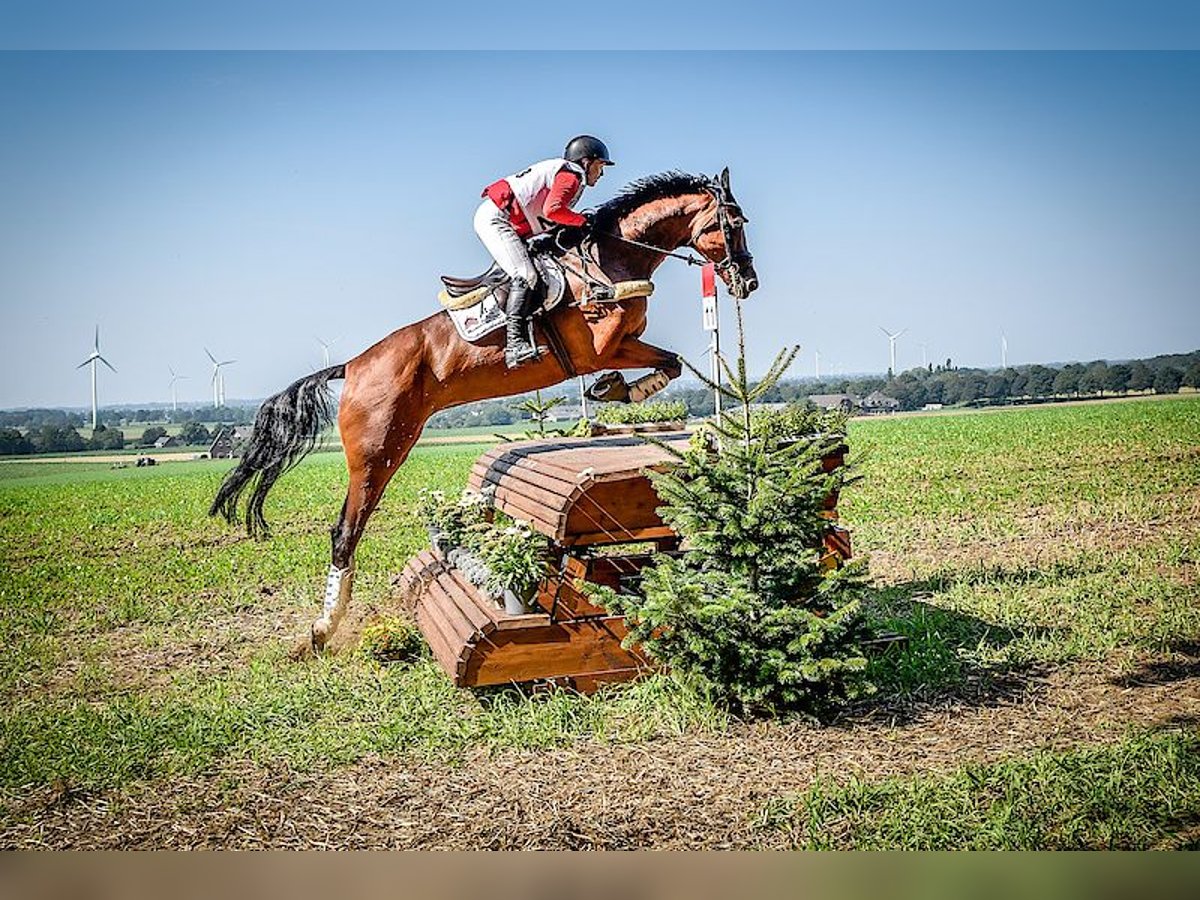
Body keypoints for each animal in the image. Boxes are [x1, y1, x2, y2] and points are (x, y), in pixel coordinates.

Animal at [213, 165, 758, 652]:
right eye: (734, 223)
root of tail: (352, 365)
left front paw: (622, 393)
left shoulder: (624, 346)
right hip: (378, 451)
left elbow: (672, 362)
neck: (612, 257)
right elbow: (656, 361)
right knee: (346, 530)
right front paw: (615, 390)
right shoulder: (602, 345)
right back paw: (325, 629)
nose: (747, 282)